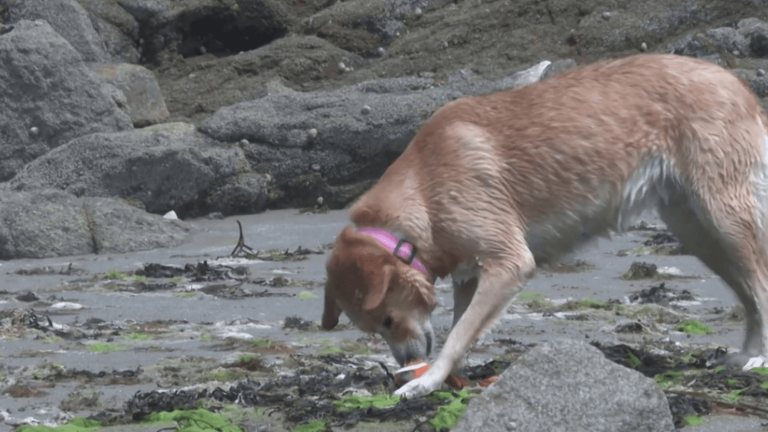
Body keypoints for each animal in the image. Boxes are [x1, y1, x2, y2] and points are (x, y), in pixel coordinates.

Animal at [320, 54, 768, 398]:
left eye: (387, 321)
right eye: (376, 328)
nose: (407, 363)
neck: (422, 195)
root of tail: (738, 84)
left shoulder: (509, 263)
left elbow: (456, 334)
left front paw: (427, 381)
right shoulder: (471, 276)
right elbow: (462, 330)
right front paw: (451, 379)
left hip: (724, 218)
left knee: (760, 287)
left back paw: (759, 358)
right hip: (698, 233)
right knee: (749, 296)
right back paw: (746, 355)